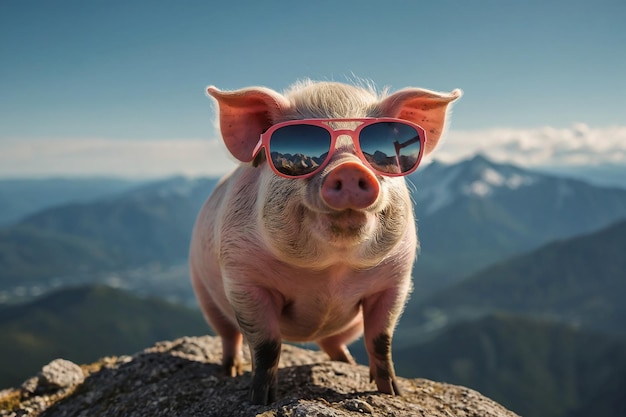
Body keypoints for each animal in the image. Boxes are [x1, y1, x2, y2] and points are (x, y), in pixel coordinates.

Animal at [189, 79, 458, 404]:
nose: (350, 169)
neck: (331, 272)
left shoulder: (396, 280)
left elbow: (381, 340)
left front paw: (393, 392)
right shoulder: (243, 278)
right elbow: (266, 345)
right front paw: (261, 399)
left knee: (333, 341)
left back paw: (348, 363)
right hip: (205, 295)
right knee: (230, 335)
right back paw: (230, 371)